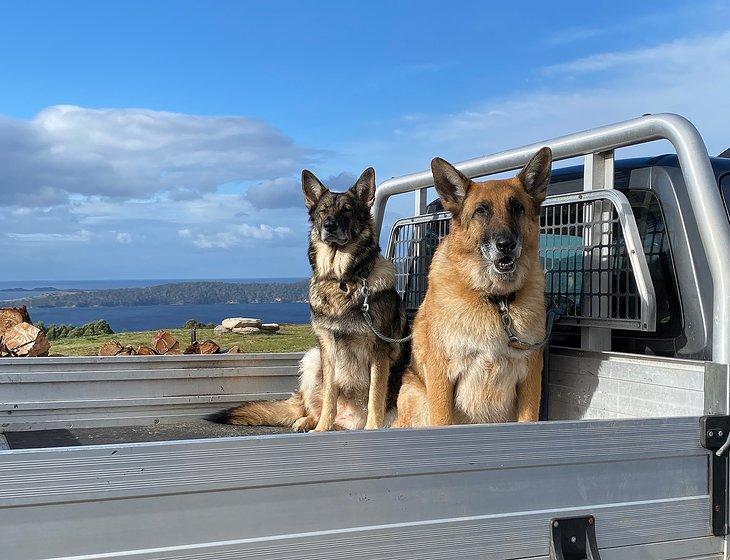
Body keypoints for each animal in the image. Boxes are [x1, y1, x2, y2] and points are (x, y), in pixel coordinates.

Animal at [213, 168, 412, 430]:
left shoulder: (379, 353)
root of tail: (351, 423)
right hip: (312, 358)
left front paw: (372, 429)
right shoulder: (327, 350)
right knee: (314, 407)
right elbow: (329, 396)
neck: (342, 280)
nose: (329, 226)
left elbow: (375, 397)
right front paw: (321, 430)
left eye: (347, 210)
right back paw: (308, 421)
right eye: (323, 211)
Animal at [392, 147, 552, 426]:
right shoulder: (441, 377)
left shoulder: (531, 377)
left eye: (517, 207)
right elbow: (442, 421)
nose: (506, 245)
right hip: (417, 396)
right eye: (481, 211)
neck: (494, 299)